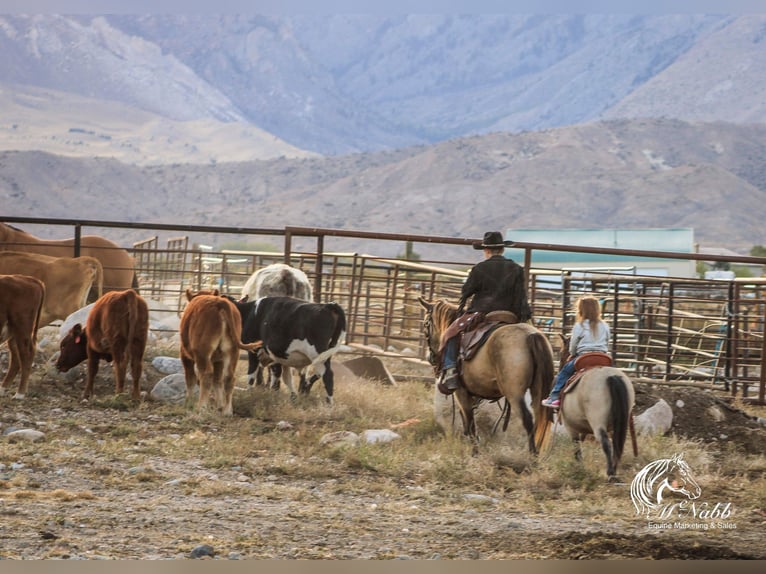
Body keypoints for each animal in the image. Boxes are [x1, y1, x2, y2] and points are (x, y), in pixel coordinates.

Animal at [416, 296, 556, 454]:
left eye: (426, 324)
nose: (430, 358)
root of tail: (531, 336)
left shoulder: (461, 393)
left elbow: (470, 423)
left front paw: (475, 452)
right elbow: (467, 423)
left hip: (515, 394)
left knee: (527, 420)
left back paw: (532, 456)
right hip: (537, 390)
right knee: (538, 418)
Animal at [556, 336, 640, 480]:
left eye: (562, 353)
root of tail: (611, 376)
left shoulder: (570, 426)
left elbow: (576, 447)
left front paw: (578, 467)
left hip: (597, 422)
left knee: (605, 442)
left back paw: (610, 472)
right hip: (620, 422)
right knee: (617, 443)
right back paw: (614, 469)